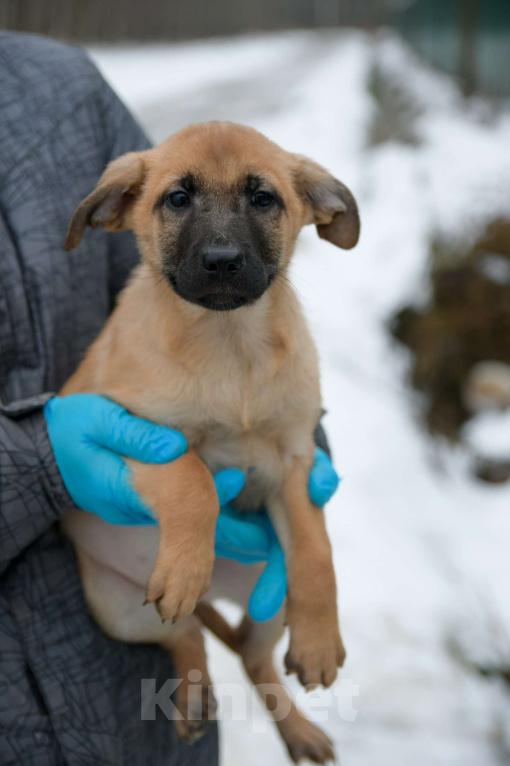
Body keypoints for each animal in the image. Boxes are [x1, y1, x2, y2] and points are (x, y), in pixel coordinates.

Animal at [60, 123, 358, 764]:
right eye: (176, 199)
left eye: (263, 198)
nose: (222, 262)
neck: (231, 344)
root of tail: (217, 593)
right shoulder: (137, 428)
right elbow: (192, 478)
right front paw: (185, 564)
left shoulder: (296, 460)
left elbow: (315, 548)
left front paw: (321, 639)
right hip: (118, 609)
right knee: (186, 634)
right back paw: (194, 685)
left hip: (269, 594)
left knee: (251, 653)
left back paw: (298, 728)